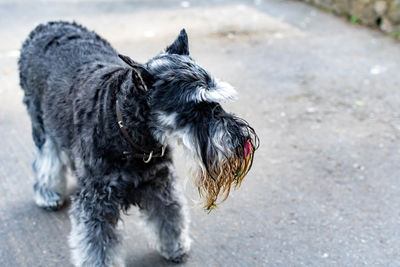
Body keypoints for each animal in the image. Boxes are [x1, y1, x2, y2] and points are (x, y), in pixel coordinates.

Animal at [18, 22, 260, 266]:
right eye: (195, 108)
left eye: (216, 101)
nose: (242, 139)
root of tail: (45, 27)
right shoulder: (96, 202)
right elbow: (96, 244)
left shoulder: (160, 182)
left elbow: (169, 216)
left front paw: (175, 246)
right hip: (41, 125)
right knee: (46, 160)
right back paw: (48, 194)